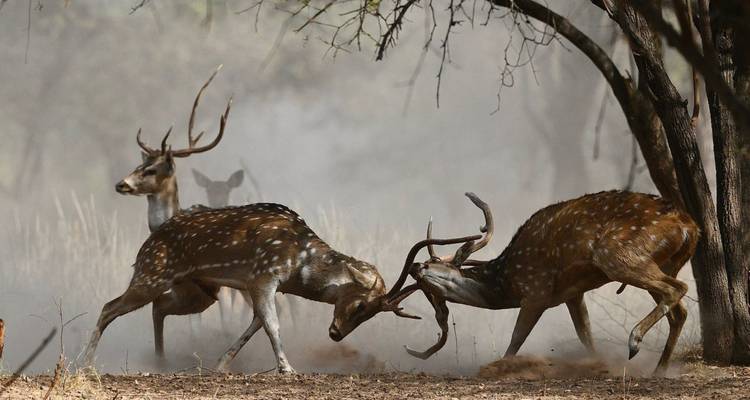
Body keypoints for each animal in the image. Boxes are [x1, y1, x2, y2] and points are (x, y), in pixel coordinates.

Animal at [331, 191, 699, 376]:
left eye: (434, 265)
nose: (417, 265)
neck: (506, 282)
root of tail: (689, 226)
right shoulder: (573, 293)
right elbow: (585, 334)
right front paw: (597, 364)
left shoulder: (535, 291)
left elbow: (516, 339)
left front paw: (499, 368)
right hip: (657, 261)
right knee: (678, 308)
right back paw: (660, 370)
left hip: (618, 255)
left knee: (677, 290)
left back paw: (635, 342)